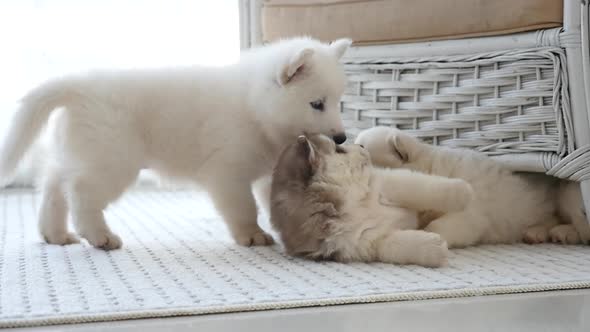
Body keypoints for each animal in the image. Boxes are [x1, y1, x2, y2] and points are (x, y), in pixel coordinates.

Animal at [0, 37, 352, 249]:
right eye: (316, 104)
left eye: (338, 101)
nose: (341, 137)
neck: (254, 106)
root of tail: (77, 86)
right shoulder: (227, 173)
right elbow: (244, 207)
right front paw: (252, 235)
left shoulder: (269, 170)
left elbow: (273, 197)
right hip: (112, 160)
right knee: (81, 193)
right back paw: (100, 236)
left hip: (81, 152)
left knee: (53, 184)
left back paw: (55, 234)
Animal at [270, 134, 474, 266]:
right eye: (339, 149)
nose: (362, 146)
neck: (353, 203)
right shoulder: (365, 242)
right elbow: (401, 245)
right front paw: (434, 248)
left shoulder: (387, 184)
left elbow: (425, 188)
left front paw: (464, 192)